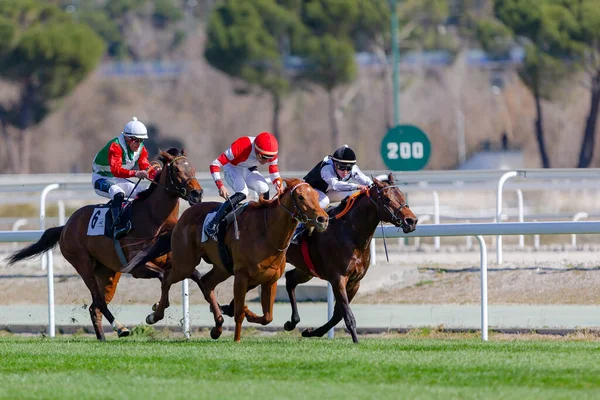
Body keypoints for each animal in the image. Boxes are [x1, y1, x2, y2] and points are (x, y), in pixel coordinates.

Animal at [6, 149, 204, 340]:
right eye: (176, 169)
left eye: (193, 167)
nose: (198, 193)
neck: (155, 219)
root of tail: (66, 226)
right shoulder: (137, 267)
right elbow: (164, 277)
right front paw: (155, 312)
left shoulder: (172, 261)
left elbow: (195, 275)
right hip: (83, 264)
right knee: (99, 301)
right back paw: (120, 328)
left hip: (108, 273)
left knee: (94, 306)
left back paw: (102, 337)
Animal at [126, 178, 330, 340]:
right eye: (301, 197)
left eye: (316, 195)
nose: (323, 219)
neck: (267, 233)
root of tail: (183, 216)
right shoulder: (241, 277)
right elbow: (239, 312)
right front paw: (237, 339)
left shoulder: (270, 280)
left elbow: (267, 317)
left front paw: (248, 313)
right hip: (185, 263)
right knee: (167, 278)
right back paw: (155, 315)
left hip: (221, 268)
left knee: (207, 282)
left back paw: (217, 327)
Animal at [220, 173, 418, 342]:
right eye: (387, 199)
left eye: (402, 195)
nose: (412, 221)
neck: (350, 234)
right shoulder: (338, 278)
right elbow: (347, 315)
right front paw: (356, 341)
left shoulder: (355, 282)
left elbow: (338, 315)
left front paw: (311, 332)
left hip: (305, 269)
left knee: (290, 279)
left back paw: (288, 321)